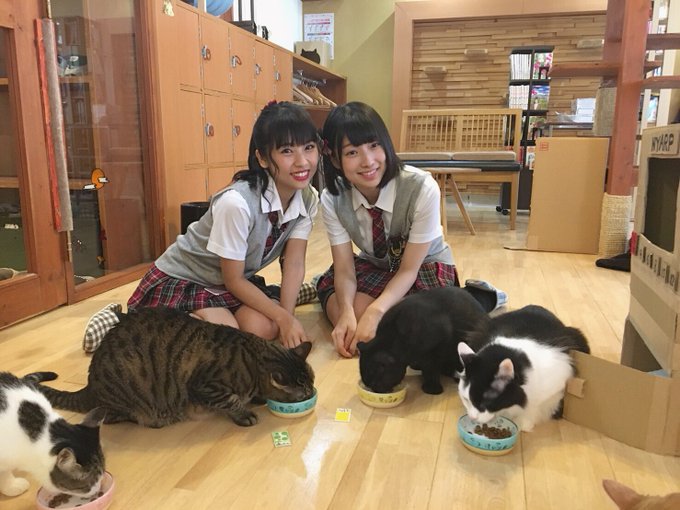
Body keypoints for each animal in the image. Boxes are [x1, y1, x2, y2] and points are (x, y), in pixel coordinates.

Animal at [29, 307, 315, 428]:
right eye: (303, 390)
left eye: (311, 381)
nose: (312, 392)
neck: (253, 361)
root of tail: (89, 386)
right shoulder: (206, 386)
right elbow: (230, 400)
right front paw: (244, 412)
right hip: (128, 397)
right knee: (110, 416)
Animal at [358, 287, 489, 395]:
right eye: (369, 385)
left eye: (375, 384)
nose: (375, 390)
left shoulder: (436, 348)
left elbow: (431, 368)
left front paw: (432, 388)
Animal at [457, 305, 590, 431]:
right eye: (466, 399)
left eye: (485, 404)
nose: (472, 417)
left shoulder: (558, 384)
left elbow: (534, 408)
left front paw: (524, 424)